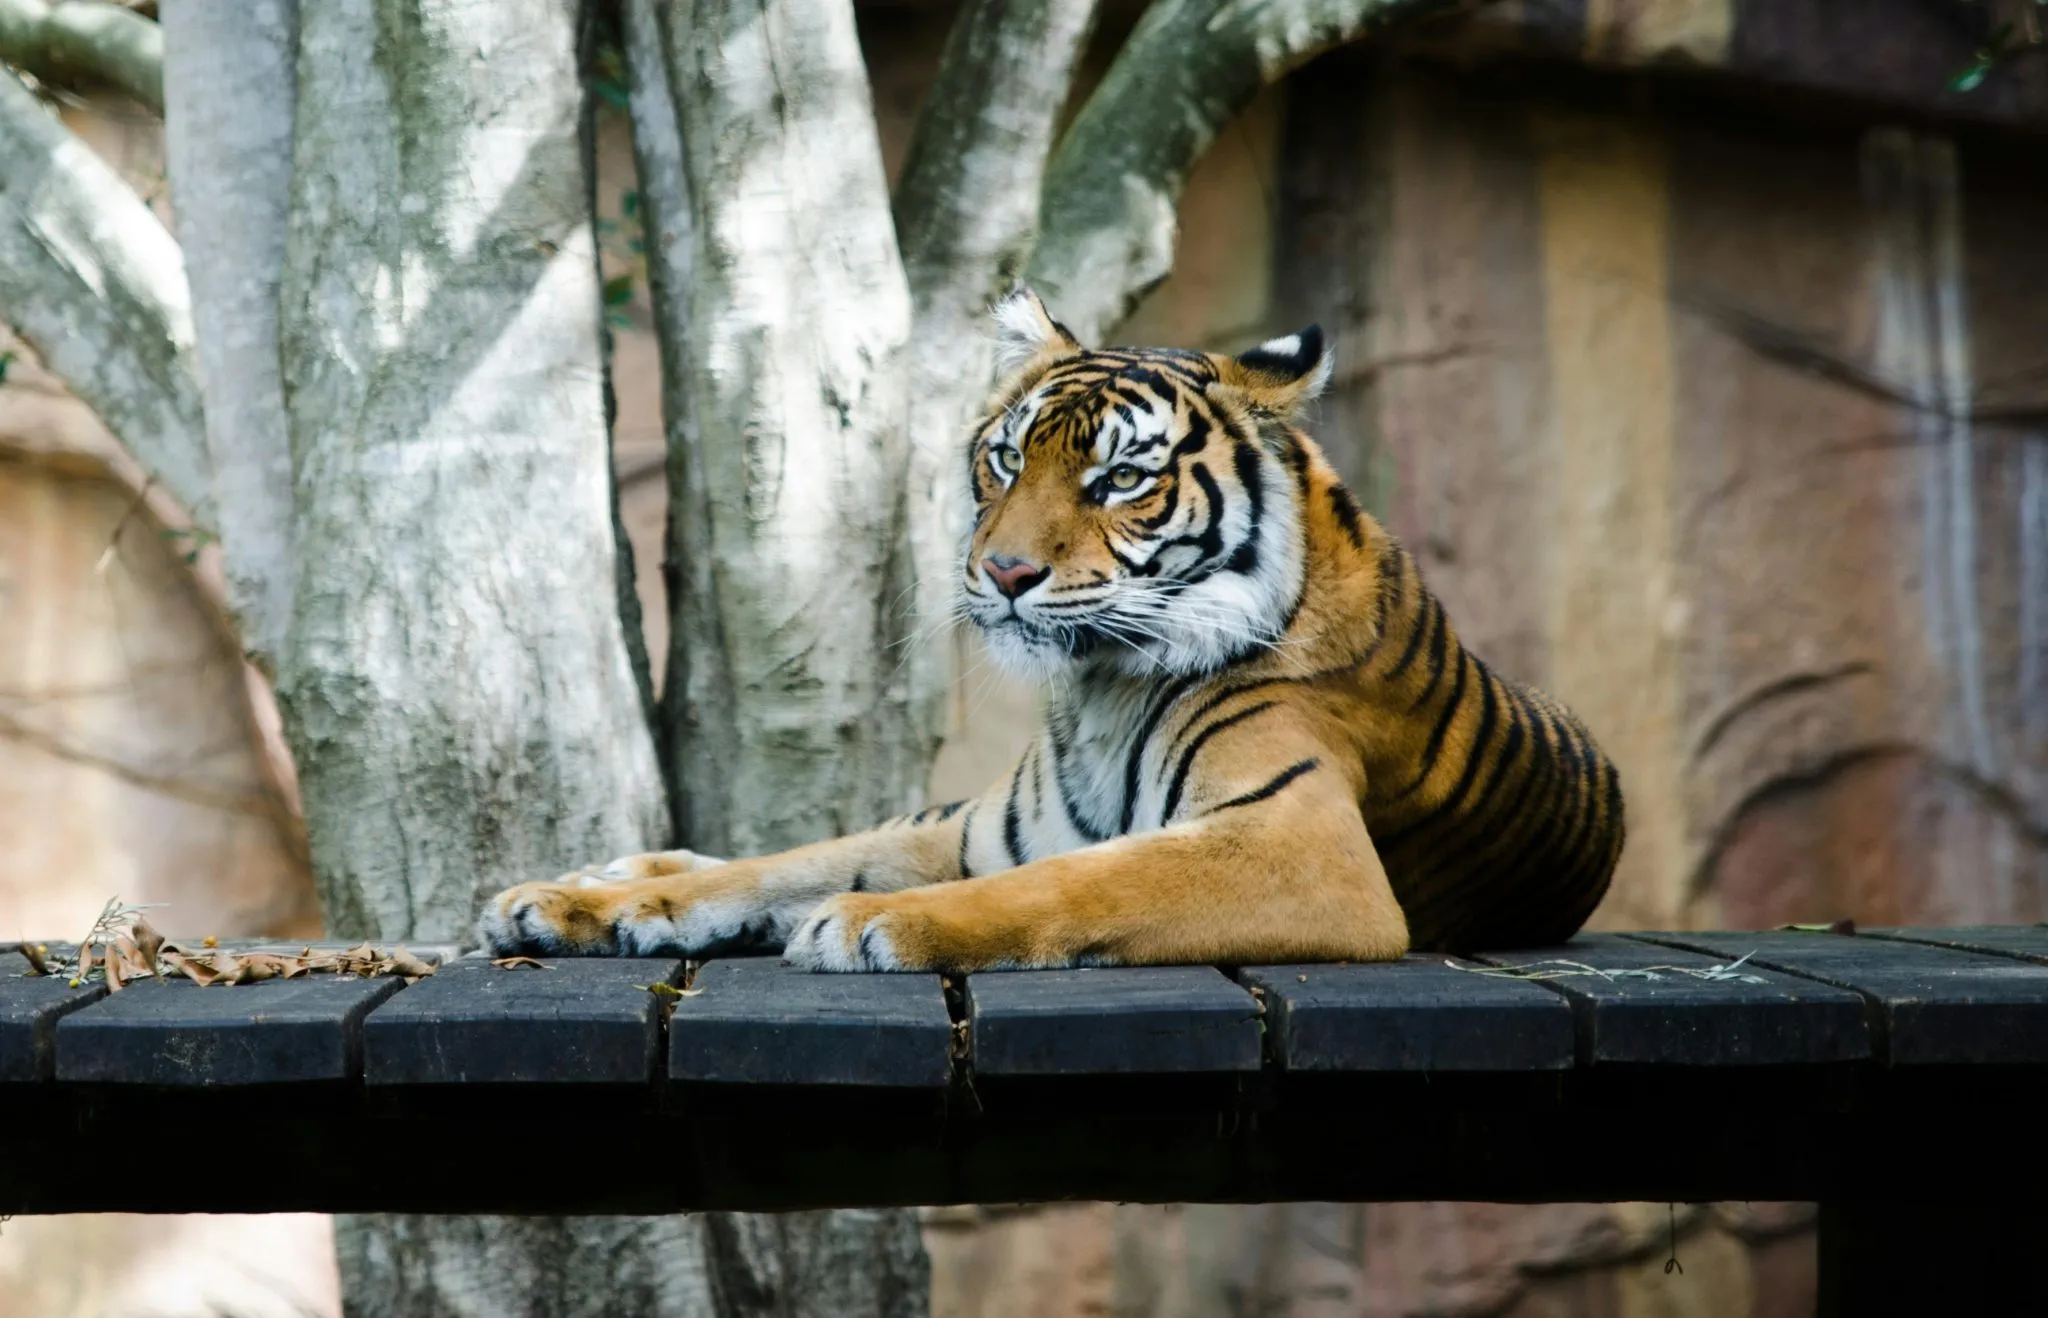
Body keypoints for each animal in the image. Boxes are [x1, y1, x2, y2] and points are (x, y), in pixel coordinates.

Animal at [478, 287, 1624, 971]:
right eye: (1004, 459)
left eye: (1118, 479)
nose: (1005, 572)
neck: (1102, 688)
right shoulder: (978, 829)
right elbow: (782, 863)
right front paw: (575, 906)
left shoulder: (1301, 846)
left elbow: (1073, 879)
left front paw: (871, 922)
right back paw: (609, 877)